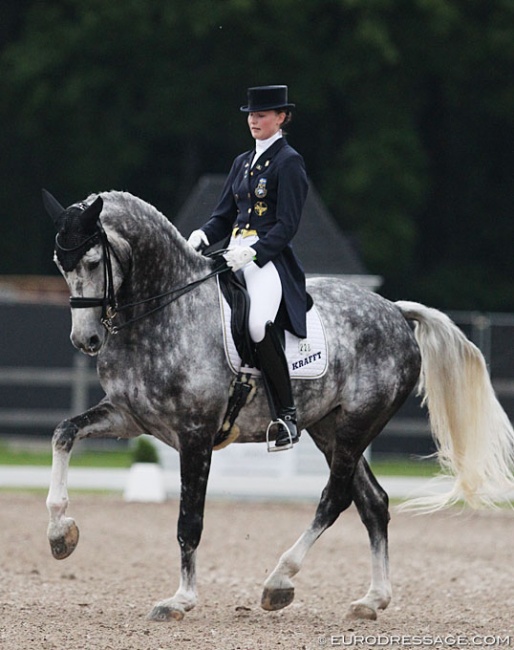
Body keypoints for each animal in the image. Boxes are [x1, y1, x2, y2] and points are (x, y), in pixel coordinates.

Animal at [43, 187, 512, 616]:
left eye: (92, 262)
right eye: (60, 265)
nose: (86, 340)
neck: (163, 311)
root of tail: (395, 311)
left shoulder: (195, 433)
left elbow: (189, 520)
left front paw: (181, 599)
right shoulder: (129, 416)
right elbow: (64, 433)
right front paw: (60, 533)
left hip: (357, 424)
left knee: (335, 498)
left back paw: (279, 580)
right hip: (329, 428)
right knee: (374, 501)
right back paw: (372, 599)